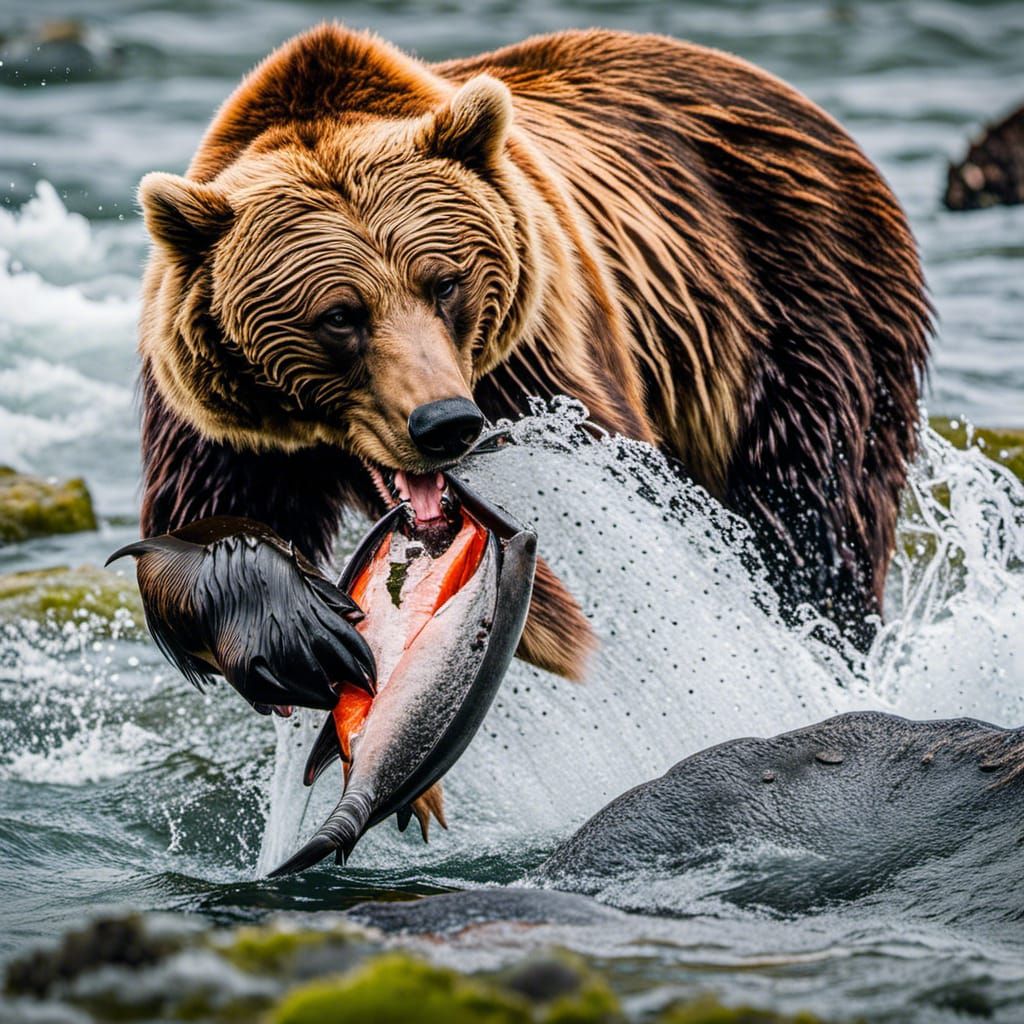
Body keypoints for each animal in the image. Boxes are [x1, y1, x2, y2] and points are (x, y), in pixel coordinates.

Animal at [136, 23, 930, 687]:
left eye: (445, 282)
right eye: (339, 315)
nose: (444, 423)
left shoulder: (542, 356)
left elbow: (631, 514)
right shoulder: (220, 423)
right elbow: (196, 524)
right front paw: (303, 631)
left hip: (804, 306)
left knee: (811, 514)